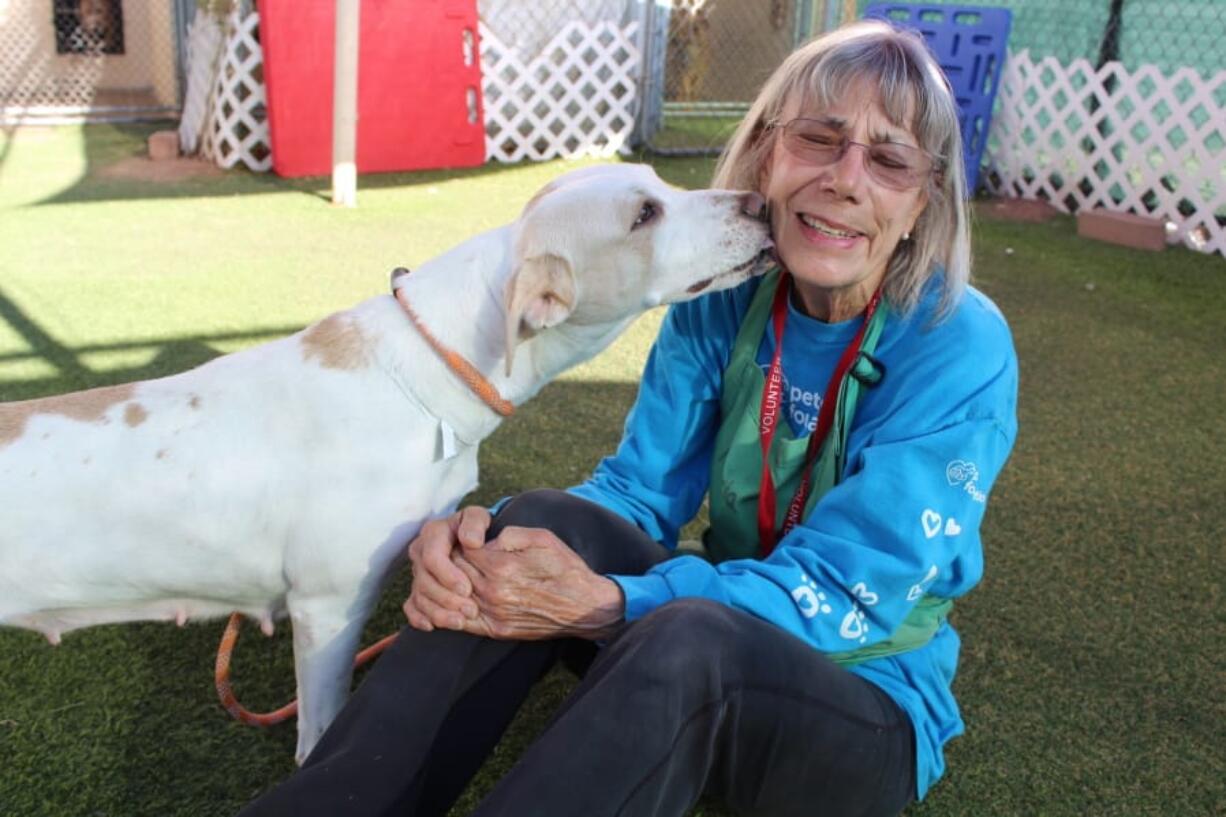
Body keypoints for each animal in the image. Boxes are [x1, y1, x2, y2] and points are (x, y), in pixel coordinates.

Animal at [0, 161, 765, 760]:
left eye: (659, 183)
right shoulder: (329, 607)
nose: (758, 202)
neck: (430, 369)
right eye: (645, 213)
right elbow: (320, 735)